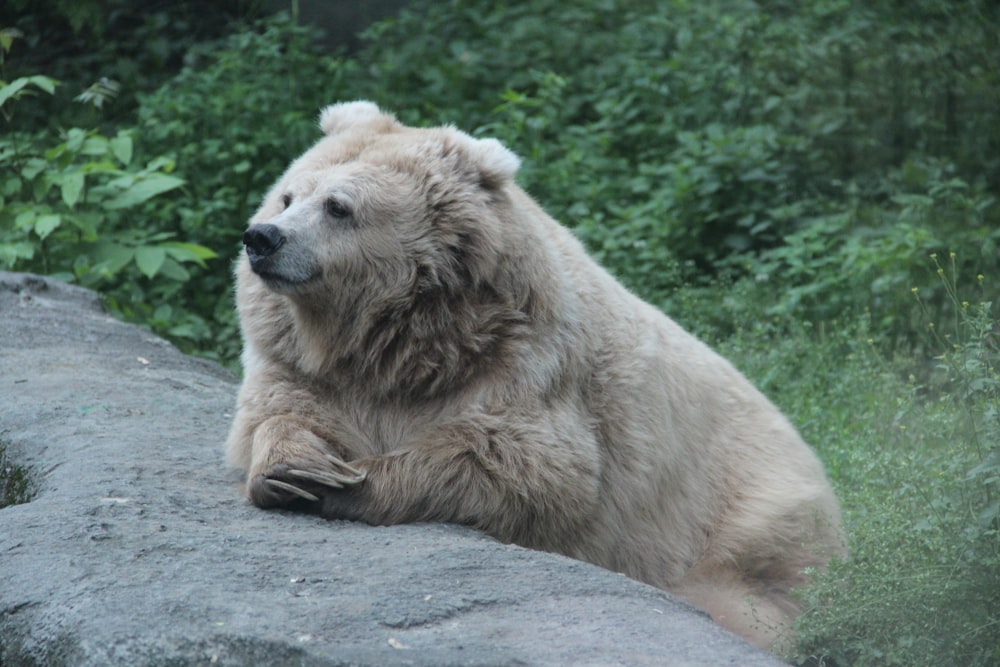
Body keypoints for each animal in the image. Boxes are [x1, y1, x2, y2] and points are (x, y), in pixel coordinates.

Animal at [227, 100, 844, 652]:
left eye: (338, 206)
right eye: (288, 195)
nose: (263, 237)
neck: (404, 340)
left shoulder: (528, 363)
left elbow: (526, 466)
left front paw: (349, 482)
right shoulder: (304, 363)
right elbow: (278, 414)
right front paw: (298, 470)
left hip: (745, 522)